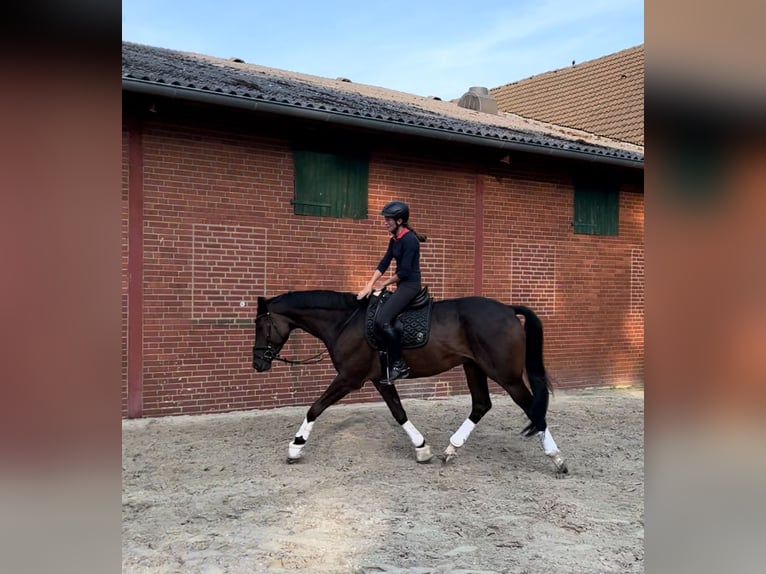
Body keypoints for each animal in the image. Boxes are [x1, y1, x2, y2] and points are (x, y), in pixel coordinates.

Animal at [252, 290, 568, 474]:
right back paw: (451, 449)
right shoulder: (380, 379)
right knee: (481, 405)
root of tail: (508, 309)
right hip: (474, 367)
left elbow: (315, 408)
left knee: (532, 408)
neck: (346, 321)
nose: (258, 363)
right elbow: (399, 412)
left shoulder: (349, 378)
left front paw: (296, 446)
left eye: (261, 324)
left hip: (506, 375)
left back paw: (557, 458)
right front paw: (422, 448)